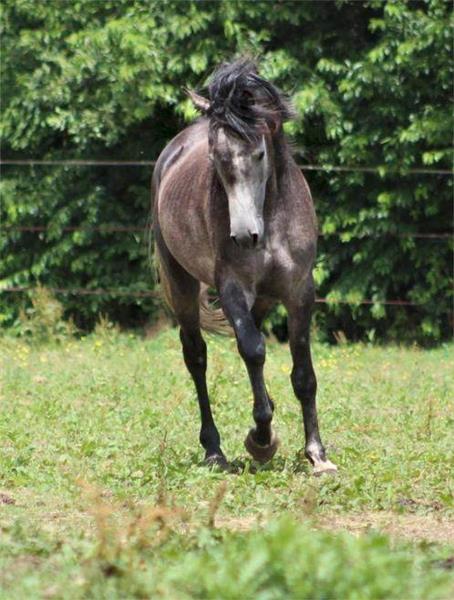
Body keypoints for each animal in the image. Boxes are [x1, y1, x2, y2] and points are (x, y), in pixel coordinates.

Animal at [153, 58, 336, 476]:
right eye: (216, 158)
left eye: (260, 154)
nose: (244, 236)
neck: (271, 219)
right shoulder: (232, 288)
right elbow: (252, 350)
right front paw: (261, 440)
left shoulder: (300, 291)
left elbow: (303, 373)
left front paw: (317, 454)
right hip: (182, 284)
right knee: (197, 357)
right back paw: (214, 449)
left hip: (264, 298)